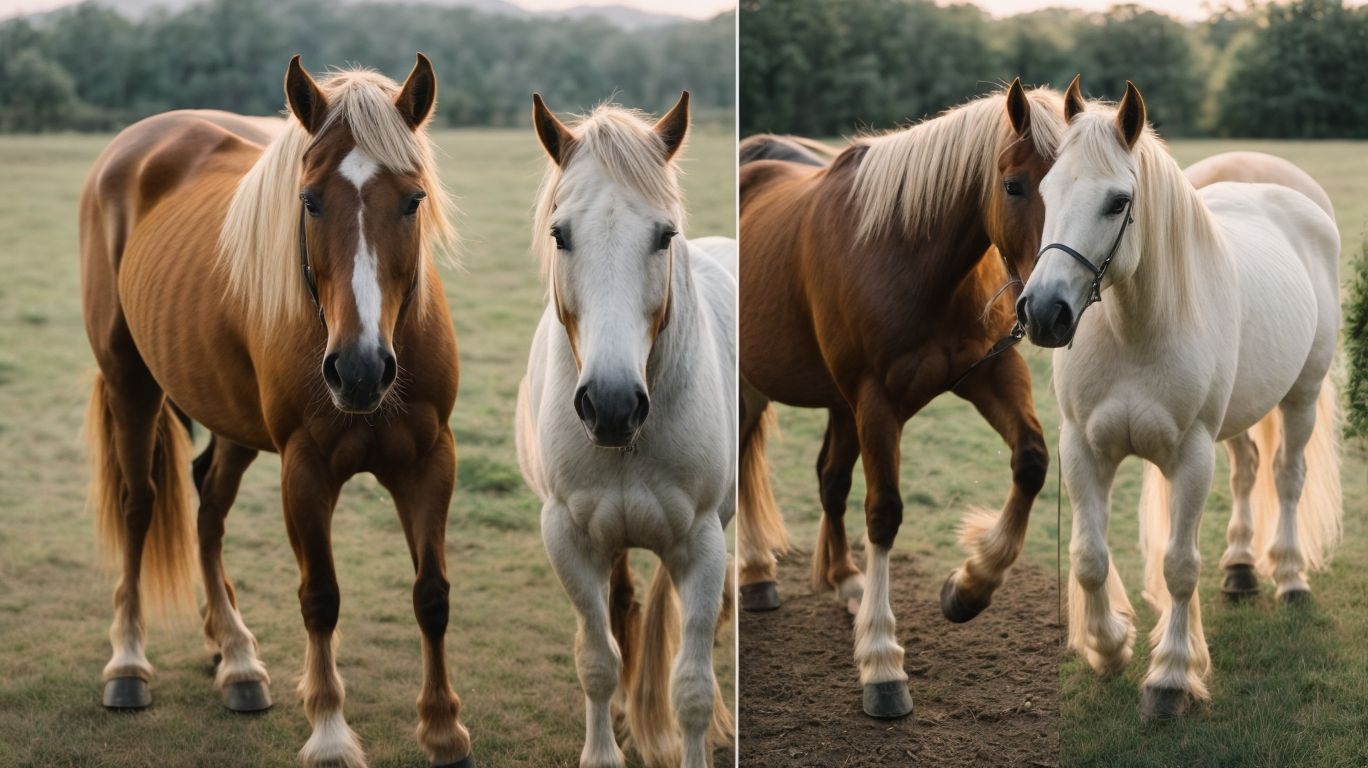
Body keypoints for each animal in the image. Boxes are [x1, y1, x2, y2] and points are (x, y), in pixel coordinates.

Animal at [79, 56, 474, 767]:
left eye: (414, 199)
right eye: (310, 199)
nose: (360, 369)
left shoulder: (432, 459)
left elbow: (432, 594)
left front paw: (442, 728)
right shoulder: (305, 468)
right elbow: (320, 597)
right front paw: (330, 733)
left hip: (230, 415)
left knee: (207, 505)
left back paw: (234, 655)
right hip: (130, 383)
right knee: (138, 504)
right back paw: (129, 662)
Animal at [514, 93, 736, 768]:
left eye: (664, 236)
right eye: (560, 235)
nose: (610, 405)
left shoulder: (702, 543)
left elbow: (690, 685)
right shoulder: (568, 537)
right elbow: (598, 660)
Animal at [737, 79, 1068, 719]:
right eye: (1014, 185)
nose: (1051, 308)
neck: (906, 252)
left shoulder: (990, 372)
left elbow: (1032, 461)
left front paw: (970, 585)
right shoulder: (874, 399)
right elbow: (884, 512)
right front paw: (882, 663)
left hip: (837, 405)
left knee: (829, 479)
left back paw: (845, 578)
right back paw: (758, 574)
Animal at [1015, 80, 1342, 720]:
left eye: (1118, 201)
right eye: (1043, 191)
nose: (1043, 312)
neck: (1135, 331)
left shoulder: (1190, 456)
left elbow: (1179, 566)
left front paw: (1169, 679)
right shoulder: (1084, 449)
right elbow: (1090, 558)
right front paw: (1108, 648)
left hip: (1302, 397)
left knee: (1287, 477)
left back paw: (1289, 577)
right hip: (1238, 419)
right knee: (1247, 471)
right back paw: (1240, 570)